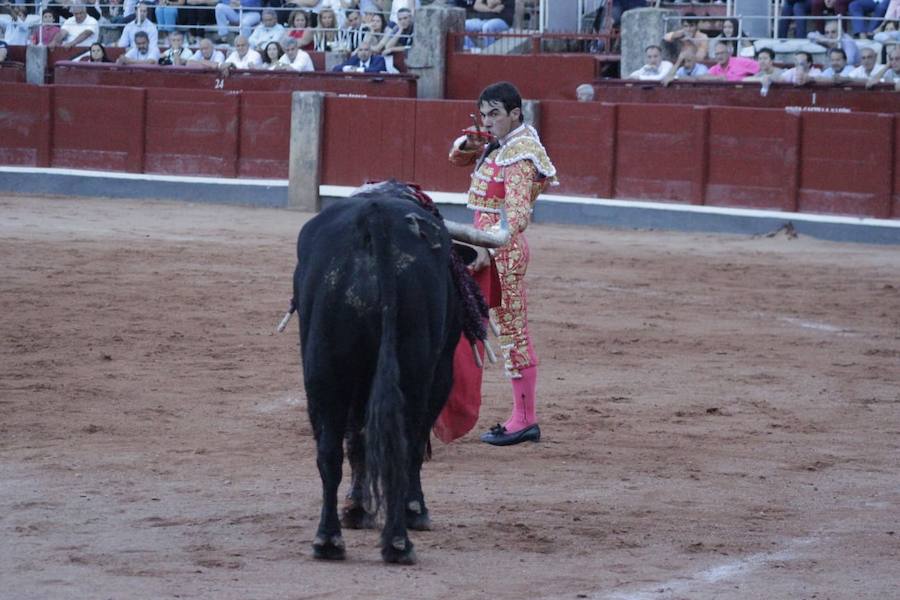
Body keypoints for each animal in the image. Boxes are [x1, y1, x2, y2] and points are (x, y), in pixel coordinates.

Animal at [294, 180, 510, 564]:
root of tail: (373, 219)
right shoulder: (440, 373)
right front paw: (414, 509)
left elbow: (358, 438)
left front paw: (357, 508)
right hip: (413, 366)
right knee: (403, 442)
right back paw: (399, 540)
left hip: (323, 367)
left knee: (330, 450)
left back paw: (328, 540)